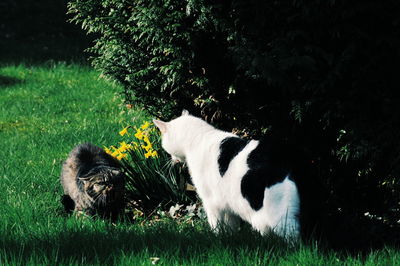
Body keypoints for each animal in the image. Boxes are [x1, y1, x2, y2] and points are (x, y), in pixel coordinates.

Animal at [155, 110, 302, 239]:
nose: (171, 159)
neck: (199, 137)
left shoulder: (210, 202)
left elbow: (216, 225)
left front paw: (217, 238)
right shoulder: (227, 205)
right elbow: (230, 226)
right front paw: (229, 238)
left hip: (280, 215)